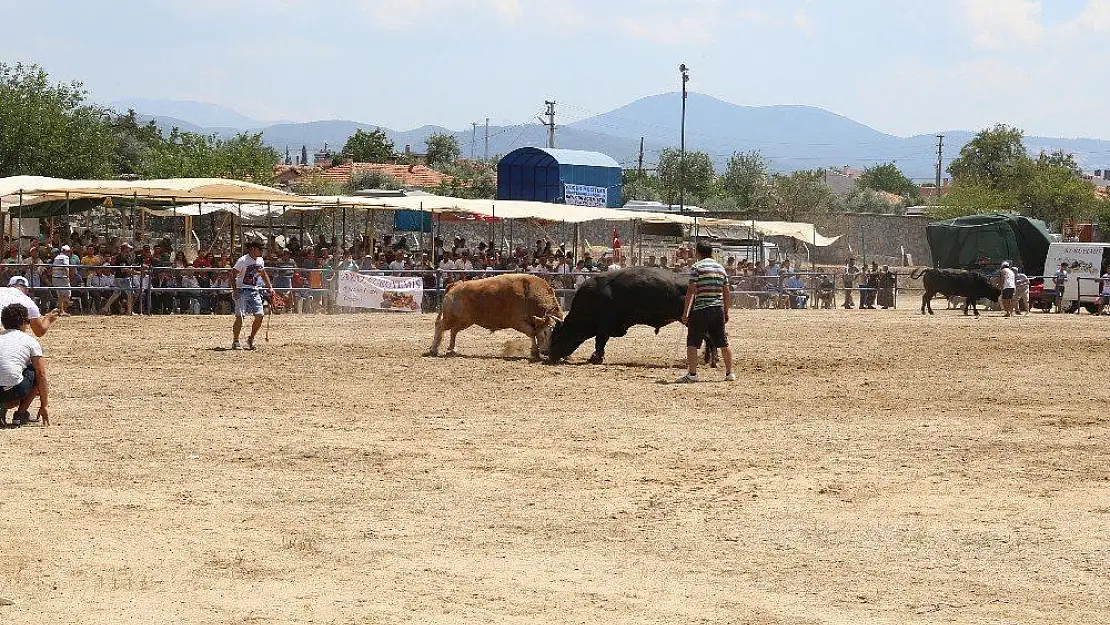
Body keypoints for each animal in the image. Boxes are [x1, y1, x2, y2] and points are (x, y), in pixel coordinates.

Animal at [424, 275, 563, 361]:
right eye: (545, 332)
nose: (547, 352)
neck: (528, 294)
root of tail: (454, 286)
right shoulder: (518, 322)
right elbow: (532, 333)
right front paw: (535, 352)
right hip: (451, 318)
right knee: (440, 326)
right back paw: (434, 349)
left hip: (465, 321)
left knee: (454, 331)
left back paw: (452, 349)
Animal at [546, 266, 719, 364]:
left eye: (557, 336)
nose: (550, 355)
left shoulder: (604, 327)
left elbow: (599, 342)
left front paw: (596, 358)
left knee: (709, 338)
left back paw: (711, 360)